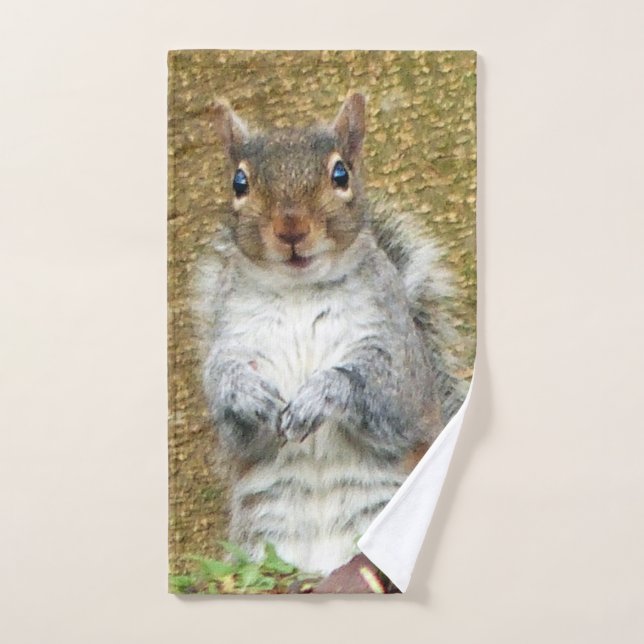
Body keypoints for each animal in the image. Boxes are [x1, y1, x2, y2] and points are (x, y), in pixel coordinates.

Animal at [193, 92, 467, 575]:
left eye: (341, 174)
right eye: (239, 182)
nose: (291, 228)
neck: (300, 291)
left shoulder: (397, 349)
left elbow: (386, 391)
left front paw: (320, 394)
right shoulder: (232, 340)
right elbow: (226, 400)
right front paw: (246, 392)